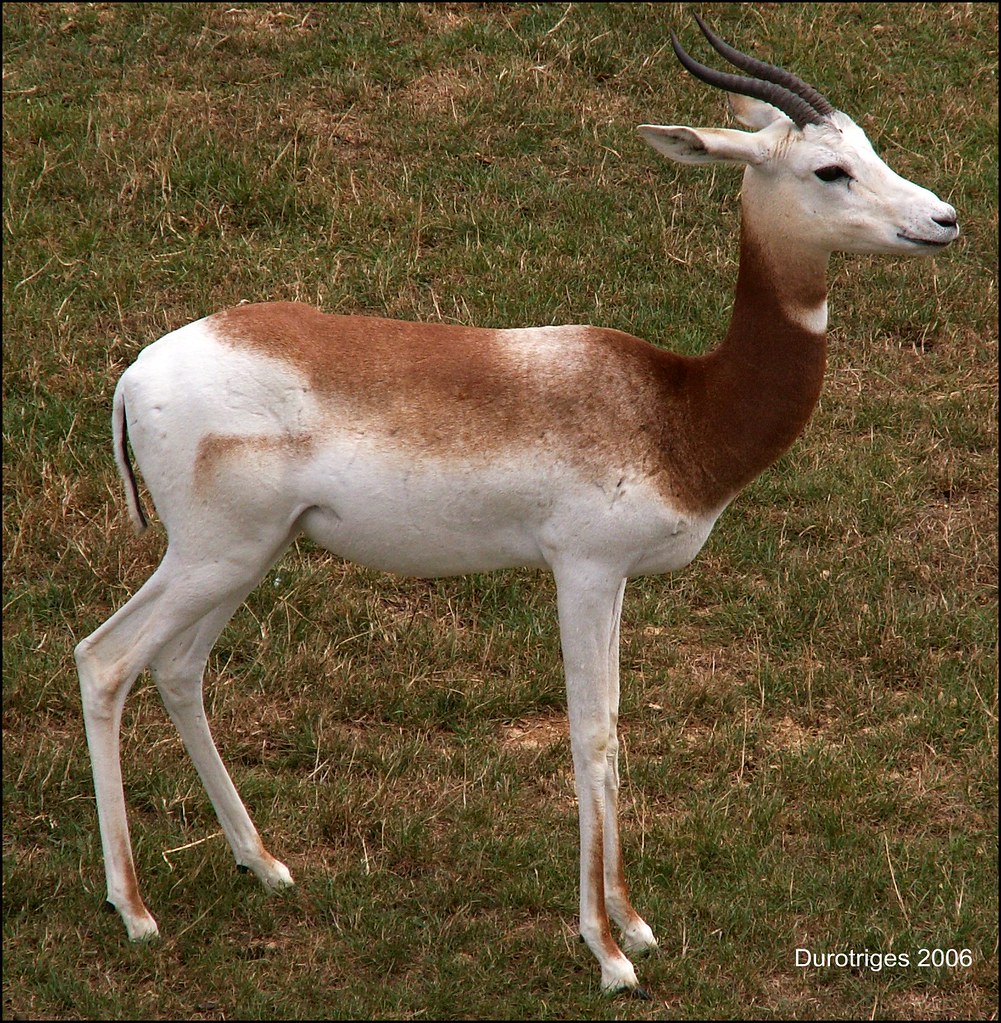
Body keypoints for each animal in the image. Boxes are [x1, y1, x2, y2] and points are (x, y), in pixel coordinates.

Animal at [75, 14, 958, 996]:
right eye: (828, 170)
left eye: (871, 146)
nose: (943, 219)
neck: (676, 407)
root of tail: (135, 374)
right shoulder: (582, 570)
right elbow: (589, 737)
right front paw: (606, 952)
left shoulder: (617, 581)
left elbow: (614, 733)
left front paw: (633, 920)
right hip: (211, 555)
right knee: (105, 660)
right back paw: (134, 910)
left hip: (245, 557)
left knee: (178, 668)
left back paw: (261, 862)